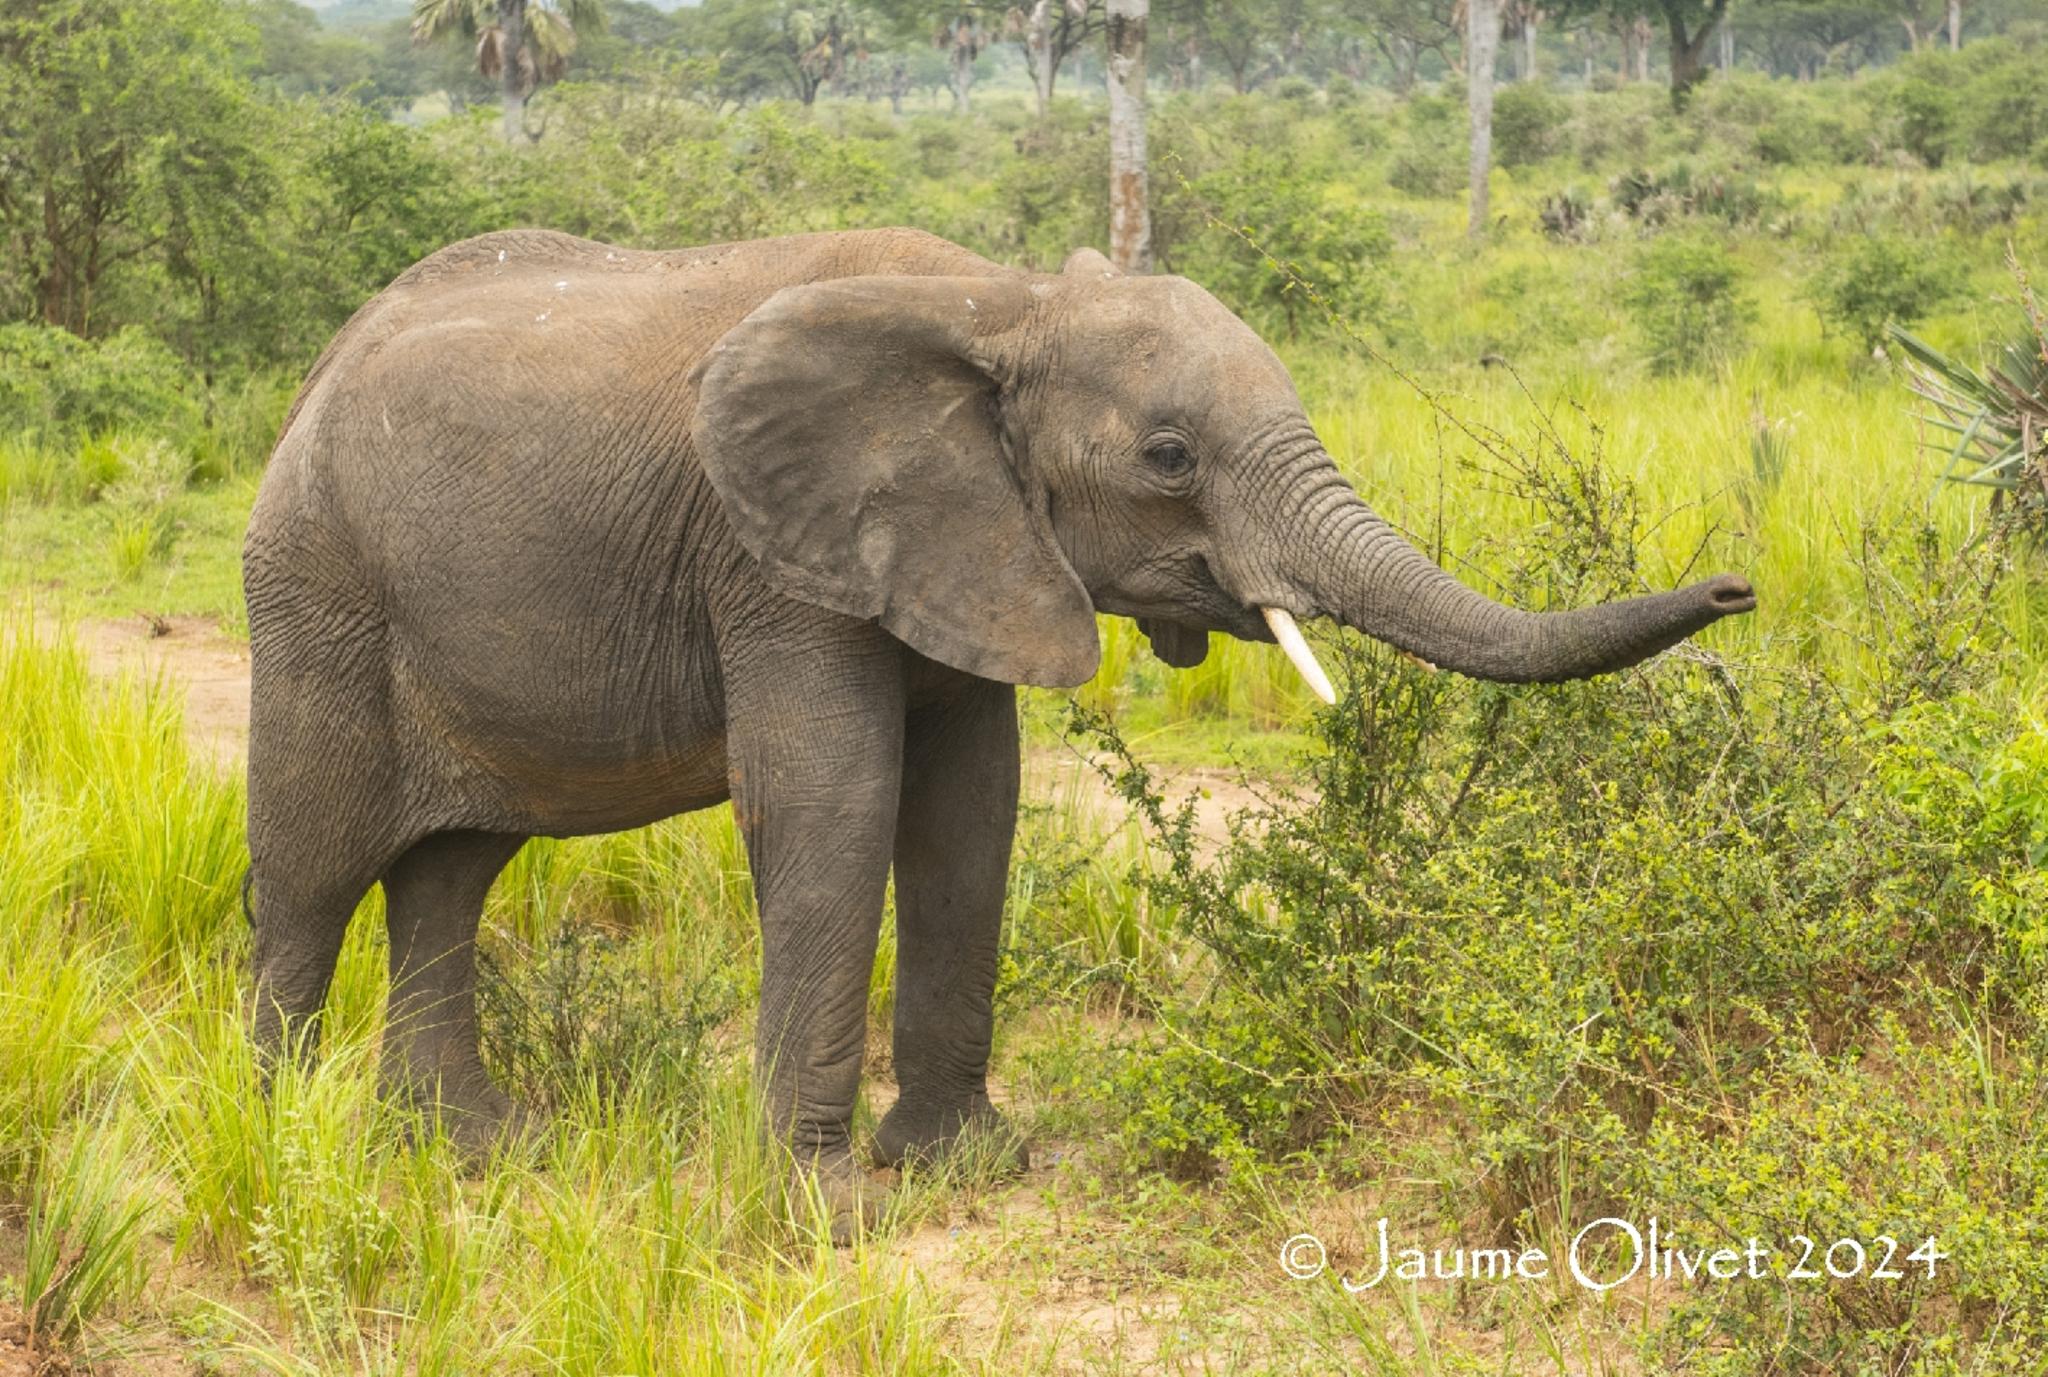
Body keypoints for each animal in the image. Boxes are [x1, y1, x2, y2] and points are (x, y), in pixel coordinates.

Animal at [243, 223, 1761, 1237]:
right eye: (1168, 458)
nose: (1738, 593)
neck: (1001, 299)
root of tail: (312, 373)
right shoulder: (773, 562)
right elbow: (836, 802)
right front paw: (830, 1213)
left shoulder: (965, 549)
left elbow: (971, 807)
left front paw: (963, 1166)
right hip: (317, 593)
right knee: (312, 871)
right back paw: (275, 1139)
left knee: (452, 869)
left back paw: (471, 1151)